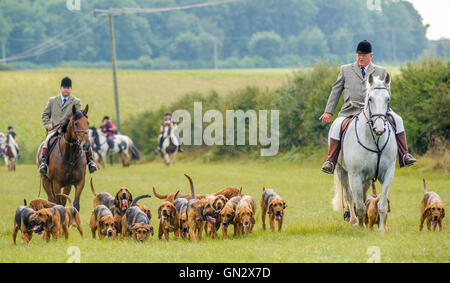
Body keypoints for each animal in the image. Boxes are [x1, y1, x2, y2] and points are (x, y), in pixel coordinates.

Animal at [332, 74, 396, 233]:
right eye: (370, 99)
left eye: (387, 99)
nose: (379, 129)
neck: (375, 140)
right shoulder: (355, 175)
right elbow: (359, 206)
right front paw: (360, 227)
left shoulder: (388, 173)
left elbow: (381, 204)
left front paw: (381, 230)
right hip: (341, 171)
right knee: (350, 196)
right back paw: (354, 221)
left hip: (366, 178)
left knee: (364, 193)